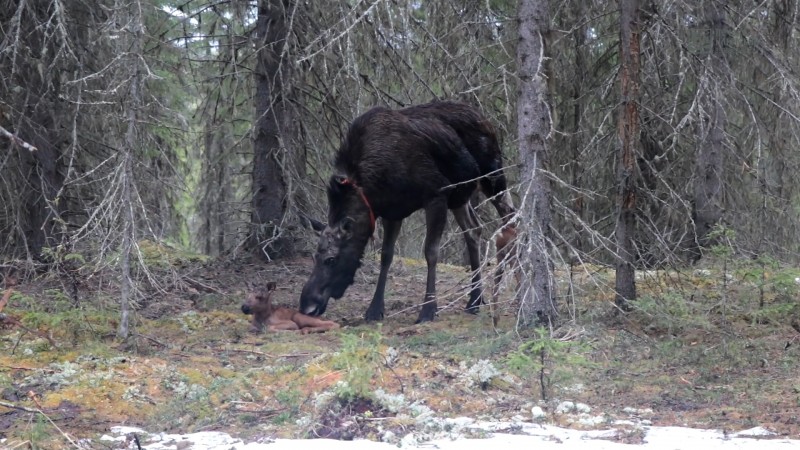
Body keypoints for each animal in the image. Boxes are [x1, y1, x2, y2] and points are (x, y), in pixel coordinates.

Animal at [298, 101, 512, 324]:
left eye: (331, 259)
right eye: (314, 256)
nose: (307, 306)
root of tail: (484, 118)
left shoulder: (436, 195)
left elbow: (430, 252)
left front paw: (428, 309)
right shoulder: (393, 212)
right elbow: (386, 255)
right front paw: (374, 309)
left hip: (492, 176)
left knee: (510, 217)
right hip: (460, 197)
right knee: (474, 229)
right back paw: (475, 299)